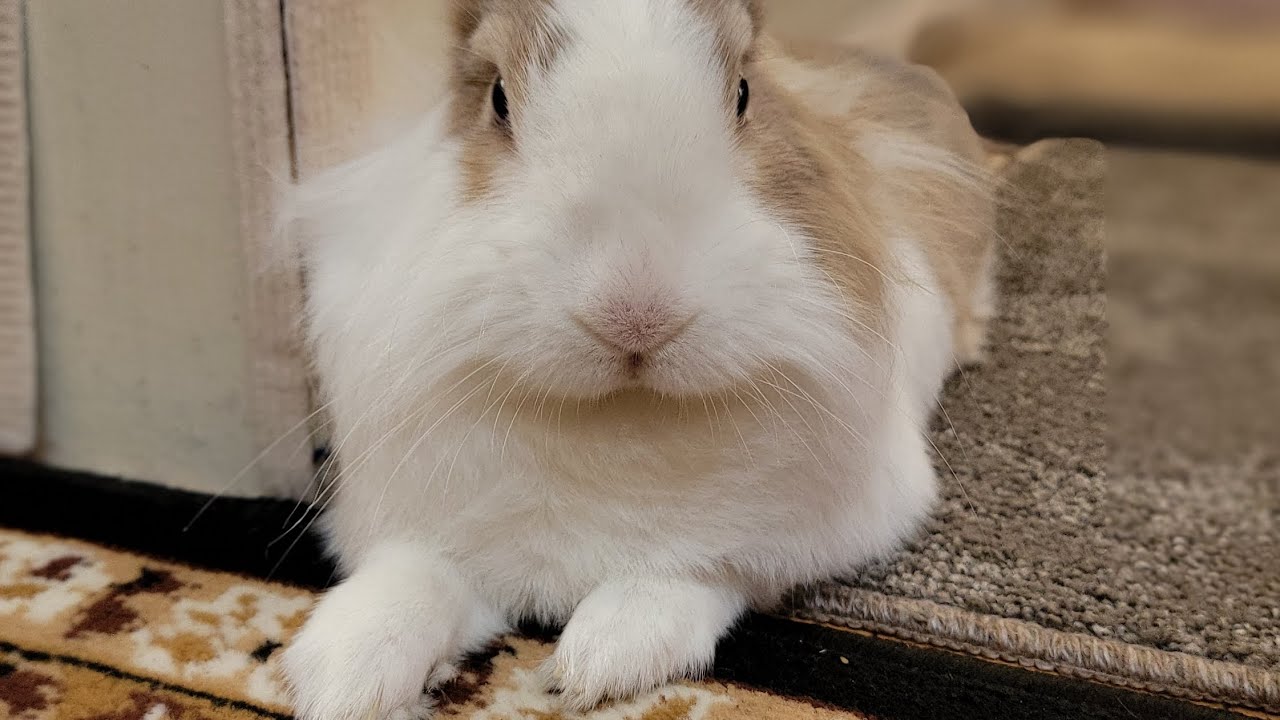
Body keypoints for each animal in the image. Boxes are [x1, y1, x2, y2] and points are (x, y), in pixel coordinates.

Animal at [279, 1, 997, 718]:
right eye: (498, 98)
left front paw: (597, 662)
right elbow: (412, 578)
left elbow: (692, 573)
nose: (635, 311)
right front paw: (338, 677)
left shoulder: (770, 540)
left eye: (744, 92)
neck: (619, 416)